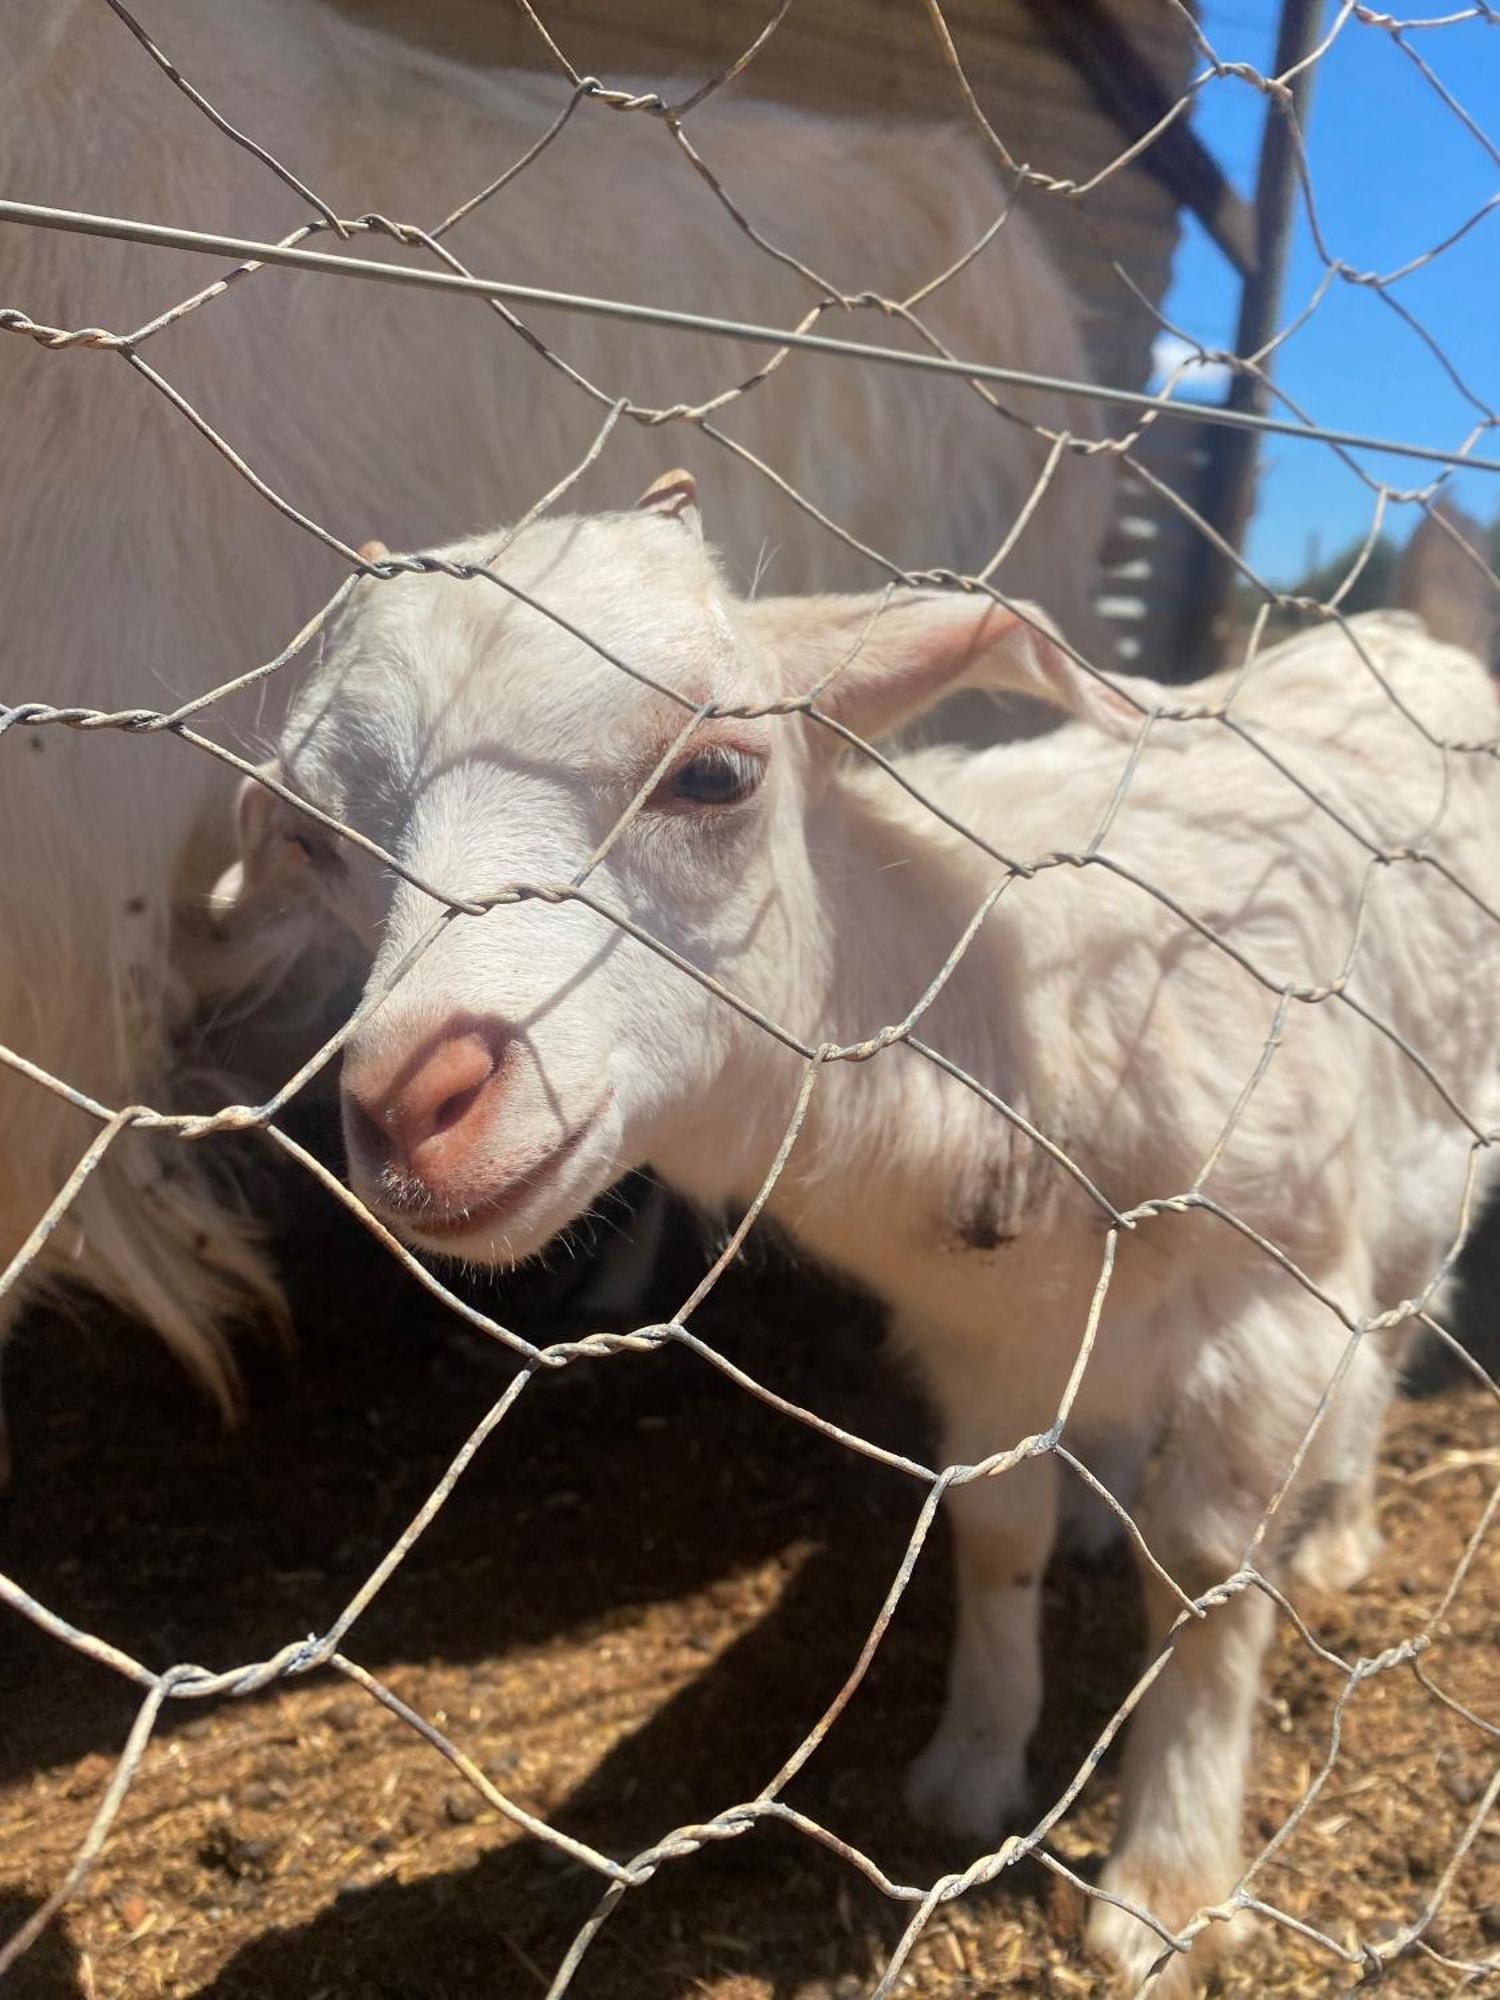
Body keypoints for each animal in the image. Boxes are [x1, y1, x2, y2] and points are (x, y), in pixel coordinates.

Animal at [223, 480, 1500, 1984]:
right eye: (313, 842)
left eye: (717, 775)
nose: (408, 1106)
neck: (1003, 1019)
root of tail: (1403, 637)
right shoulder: (978, 1335)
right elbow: (995, 1527)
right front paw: (969, 1771)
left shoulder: (1275, 1299)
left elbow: (1201, 1575)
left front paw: (1167, 1890)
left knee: (1401, 1322)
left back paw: (1342, 1526)